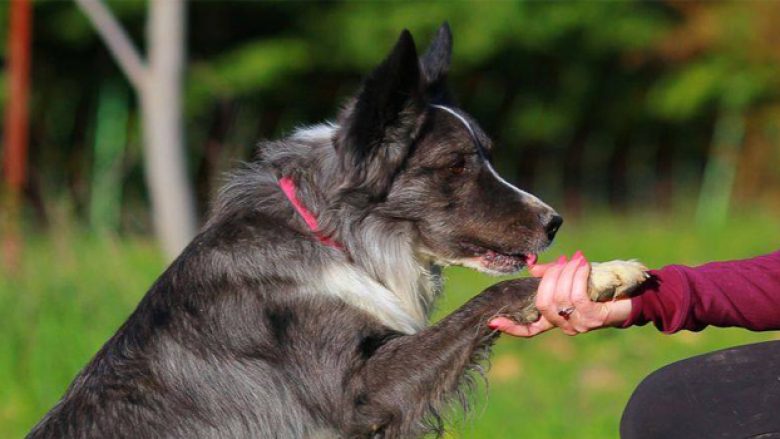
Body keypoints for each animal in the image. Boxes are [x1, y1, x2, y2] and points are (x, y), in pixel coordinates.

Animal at [29, 24, 644, 439]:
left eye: (487, 156)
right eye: (456, 166)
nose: (553, 222)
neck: (338, 239)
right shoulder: (358, 396)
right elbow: (492, 296)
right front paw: (601, 275)